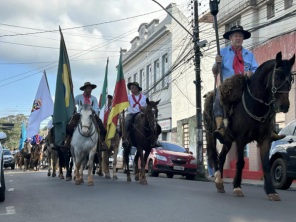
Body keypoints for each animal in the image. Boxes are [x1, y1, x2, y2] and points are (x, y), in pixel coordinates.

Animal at [205, 52, 294, 201]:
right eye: (277, 77)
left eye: (291, 79)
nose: (284, 106)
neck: (255, 105)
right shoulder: (241, 139)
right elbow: (240, 162)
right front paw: (237, 186)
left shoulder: (265, 139)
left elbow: (266, 164)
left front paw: (271, 191)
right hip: (211, 134)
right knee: (214, 154)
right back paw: (218, 178)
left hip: (228, 140)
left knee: (222, 156)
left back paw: (220, 183)